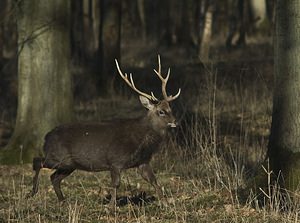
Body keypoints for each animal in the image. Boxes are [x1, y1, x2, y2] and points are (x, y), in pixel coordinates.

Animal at [29, 55, 180, 206]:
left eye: (170, 108)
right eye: (161, 111)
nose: (175, 122)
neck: (141, 140)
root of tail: (46, 137)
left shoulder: (143, 161)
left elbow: (154, 181)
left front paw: (165, 203)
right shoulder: (115, 160)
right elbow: (116, 184)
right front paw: (111, 206)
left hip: (69, 164)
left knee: (54, 177)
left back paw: (62, 201)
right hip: (57, 156)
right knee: (38, 161)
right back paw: (33, 192)